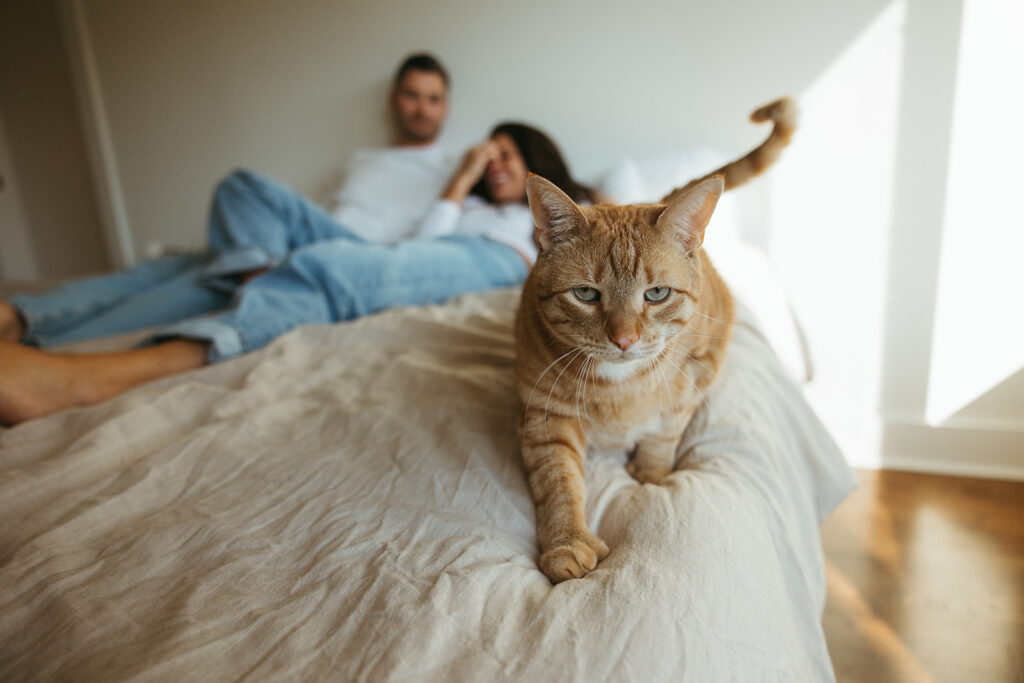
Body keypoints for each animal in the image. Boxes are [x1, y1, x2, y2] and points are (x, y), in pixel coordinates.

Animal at [516, 94, 794, 581]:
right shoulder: (546, 417)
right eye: (586, 294)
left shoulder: (697, 373)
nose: (624, 339)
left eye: (657, 294)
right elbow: (558, 482)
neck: (618, 390)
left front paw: (650, 474)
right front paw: (569, 542)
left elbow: (665, 432)